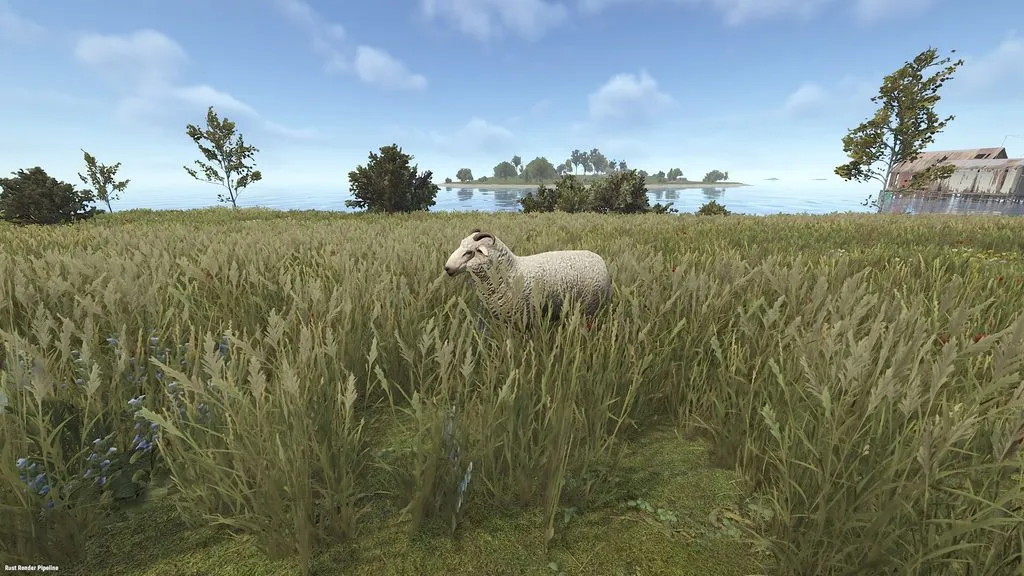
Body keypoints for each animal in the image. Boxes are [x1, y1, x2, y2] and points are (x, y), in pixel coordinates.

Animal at [443, 229, 612, 328]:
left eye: (469, 252)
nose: (447, 268)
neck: (511, 273)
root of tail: (600, 260)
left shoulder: (526, 318)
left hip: (590, 308)